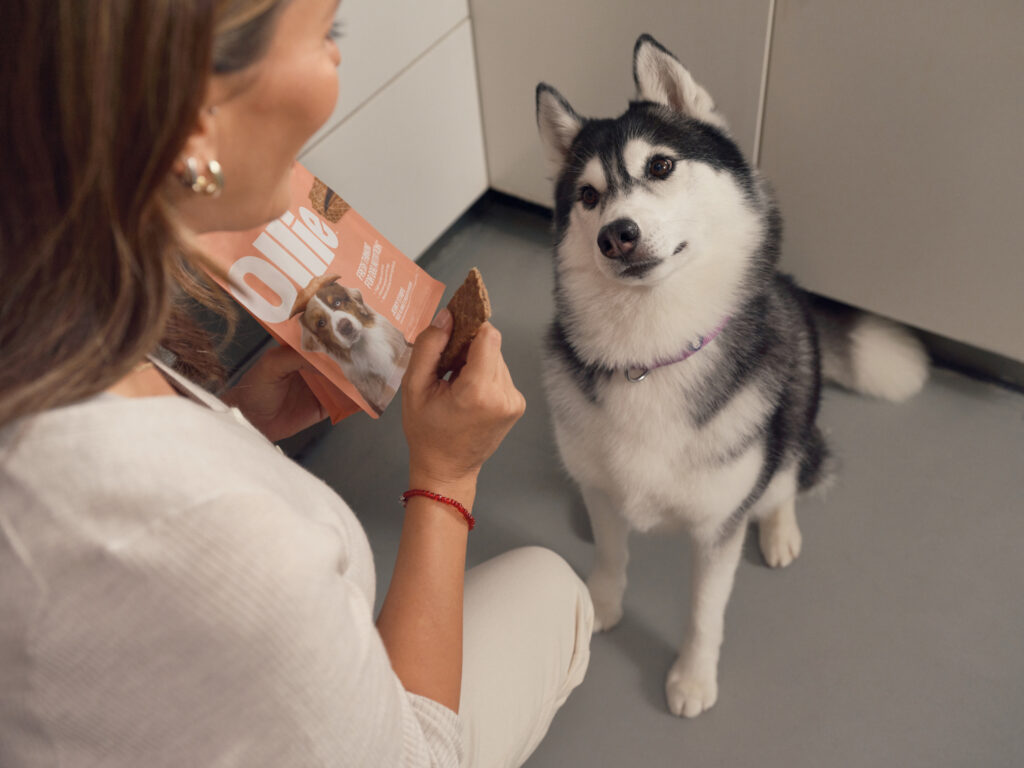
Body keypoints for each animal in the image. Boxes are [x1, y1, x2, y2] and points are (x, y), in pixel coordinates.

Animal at [536, 34, 929, 720]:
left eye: (661, 166)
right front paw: (602, 602)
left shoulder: (718, 530)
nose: (617, 235)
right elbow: (612, 552)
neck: (655, 353)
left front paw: (692, 678)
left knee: (789, 478)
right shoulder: (607, 491)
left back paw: (779, 530)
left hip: (794, 423)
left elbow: (704, 611)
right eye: (586, 197)